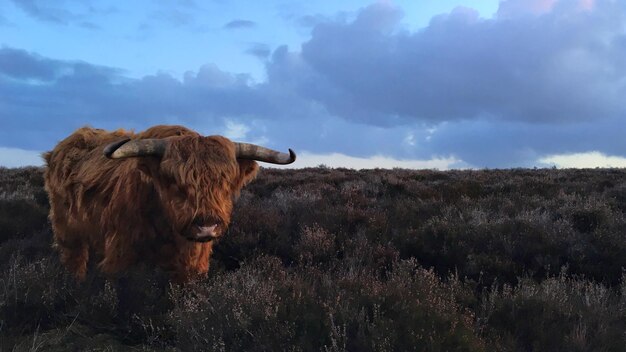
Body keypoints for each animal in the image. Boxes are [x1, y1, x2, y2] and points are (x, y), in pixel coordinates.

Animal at [45, 125, 294, 282]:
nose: (206, 226)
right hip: (67, 231)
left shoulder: (192, 264)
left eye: (225, 182)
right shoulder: (120, 254)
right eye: (174, 181)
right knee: (75, 259)